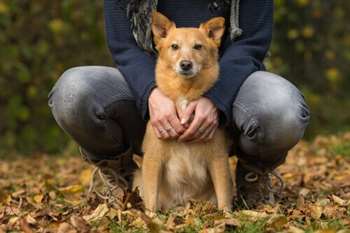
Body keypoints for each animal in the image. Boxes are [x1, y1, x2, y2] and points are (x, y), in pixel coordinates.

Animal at [132, 11, 232, 214]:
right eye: (174, 46)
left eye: (198, 46)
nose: (185, 64)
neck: (185, 93)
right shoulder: (153, 159)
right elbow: (151, 200)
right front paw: (150, 218)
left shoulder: (218, 158)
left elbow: (224, 197)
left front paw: (227, 216)